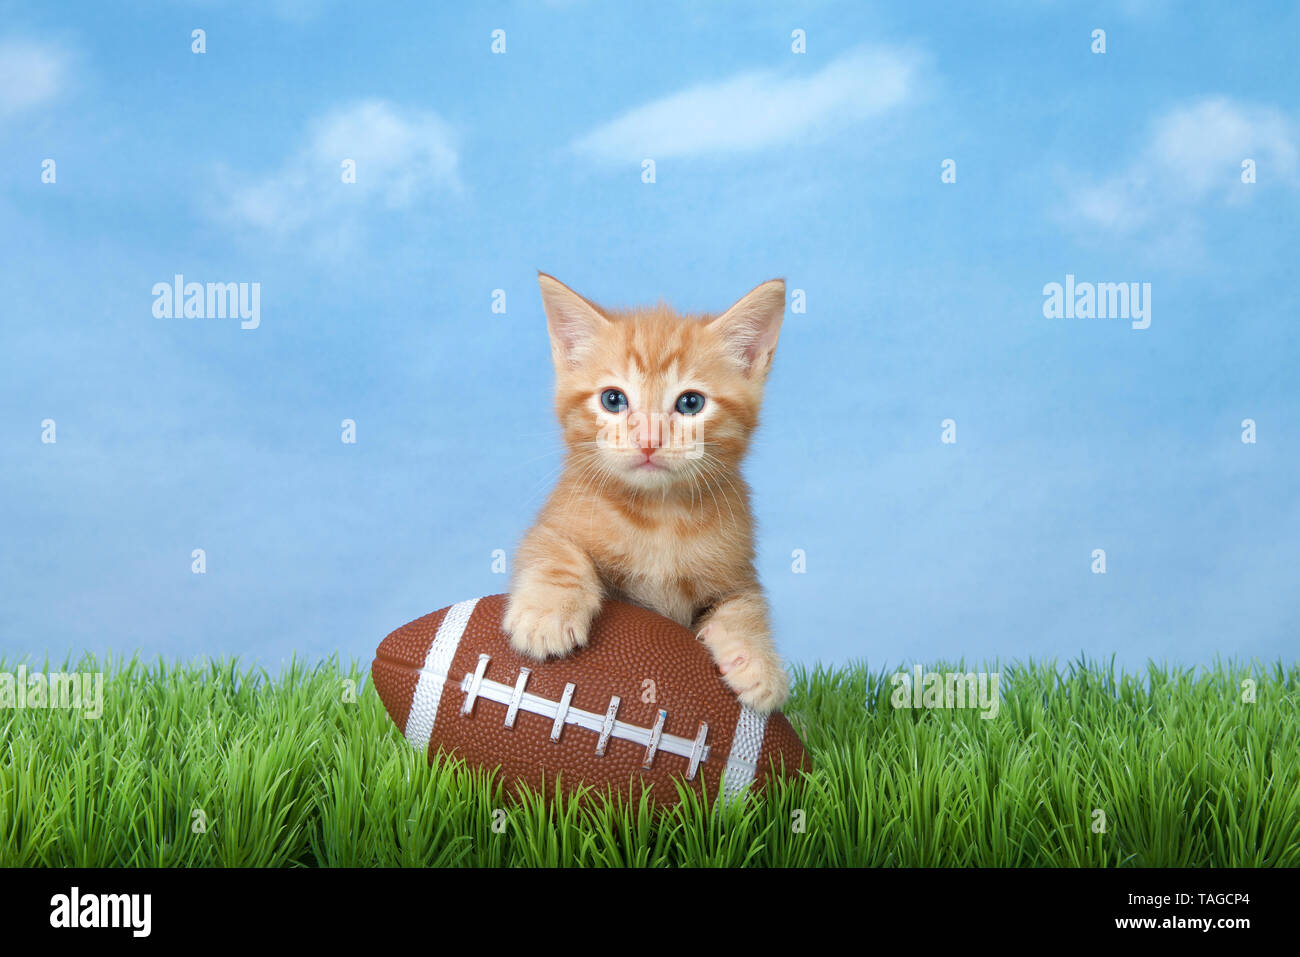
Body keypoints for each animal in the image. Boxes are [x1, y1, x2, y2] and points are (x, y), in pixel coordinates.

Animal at [504, 273, 790, 712]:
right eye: (613, 399)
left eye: (690, 403)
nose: (649, 439)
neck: (660, 516)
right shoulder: (555, 520)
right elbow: (555, 550)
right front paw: (547, 614)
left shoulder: (739, 572)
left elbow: (747, 604)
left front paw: (757, 661)